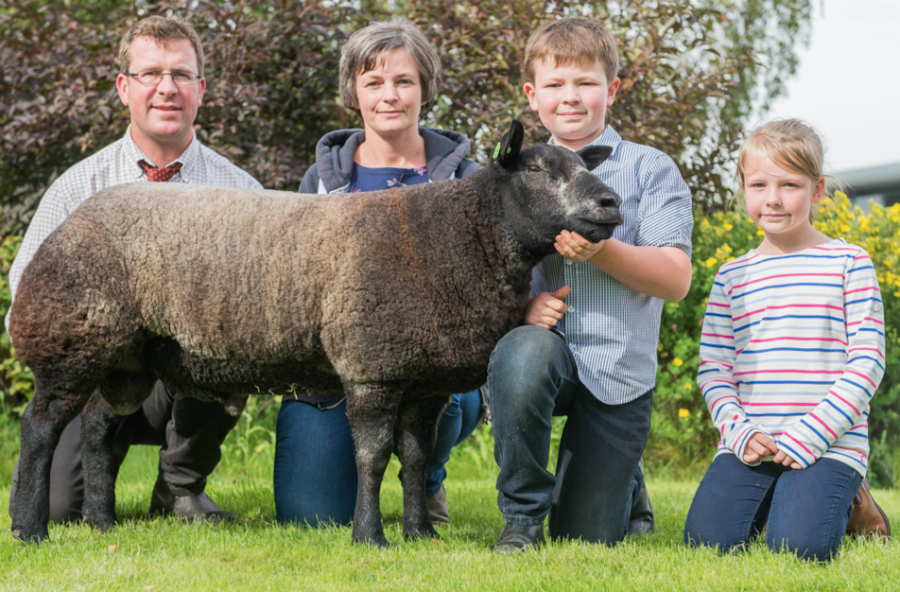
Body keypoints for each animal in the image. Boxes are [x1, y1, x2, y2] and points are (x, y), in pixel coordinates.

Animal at [8, 119, 624, 544]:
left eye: (583, 165)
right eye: (538, 169)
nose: (610, 202)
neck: (456, 236)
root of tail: (68, 222)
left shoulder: (425, 381)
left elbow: (416, 459)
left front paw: (420, 534)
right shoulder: (372, 365)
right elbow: (373, 457)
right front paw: (370, 537)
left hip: (122, 358)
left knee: (98, 432)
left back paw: (101, 524)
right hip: (71, 340)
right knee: (40, 428)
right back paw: (29, 528)